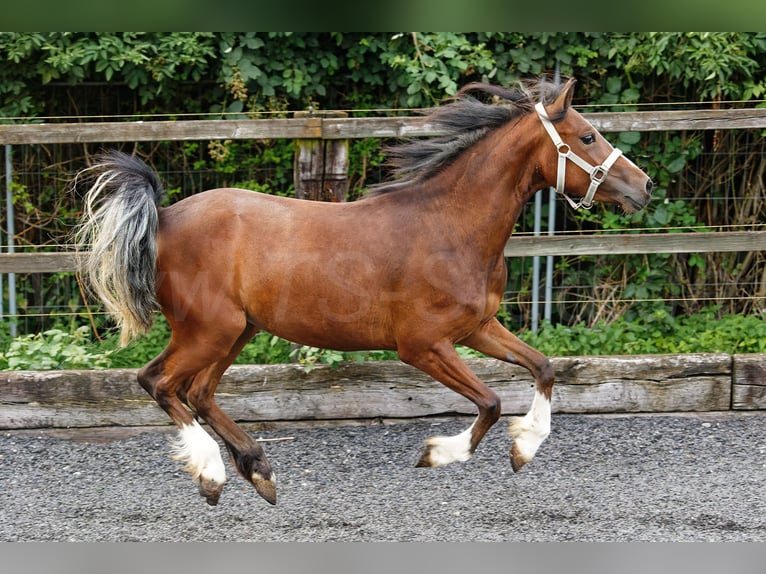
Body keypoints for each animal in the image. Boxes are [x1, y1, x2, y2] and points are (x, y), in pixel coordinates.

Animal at [76, 79, 656, 506]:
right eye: (587, 137)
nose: (644, 187)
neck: (451, 228)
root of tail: (165, 216)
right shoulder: (422, 345)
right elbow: (491, 402)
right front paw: (437, 454)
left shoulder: (478, 327)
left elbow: (544, 367)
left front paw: (524, 449)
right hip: (208, 331)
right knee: (157, 382)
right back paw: (213, 474)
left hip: (238, 331)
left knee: (198, 393)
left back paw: (260, 471)